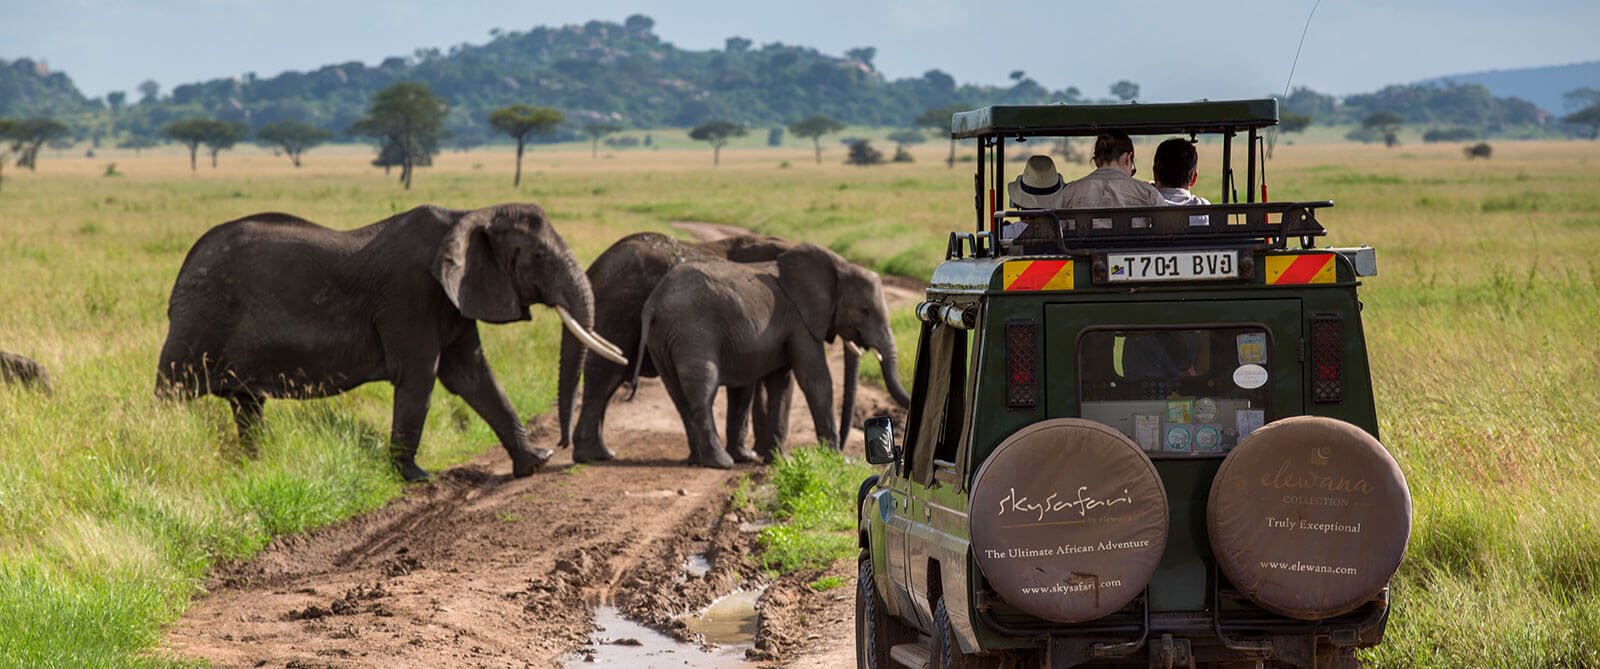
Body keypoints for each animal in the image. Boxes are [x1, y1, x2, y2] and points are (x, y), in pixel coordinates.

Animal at [151, 202, 624, 480]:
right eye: (539, 256)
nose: (561, 447)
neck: (468, 214)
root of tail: (185, 264)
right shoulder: (411, 295)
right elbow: (421, 377)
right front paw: (414, 477)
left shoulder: (454, 297)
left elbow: (474, 376)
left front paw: (534, 462)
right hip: (199, 320)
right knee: (175, 392)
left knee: (246, 403)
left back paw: (256, 465)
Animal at [636, 243, 915, 467]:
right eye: (864, 310)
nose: (844, 452)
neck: (839, 265)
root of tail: (654, 302)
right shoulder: (800, 322)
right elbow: (815, 380)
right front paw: (832, 459)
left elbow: (781, 384)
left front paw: (780, 460)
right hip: (692, 332)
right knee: (703, 388)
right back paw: (720, 462)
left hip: (662, 339)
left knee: (678, 396)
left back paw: (698, 459)